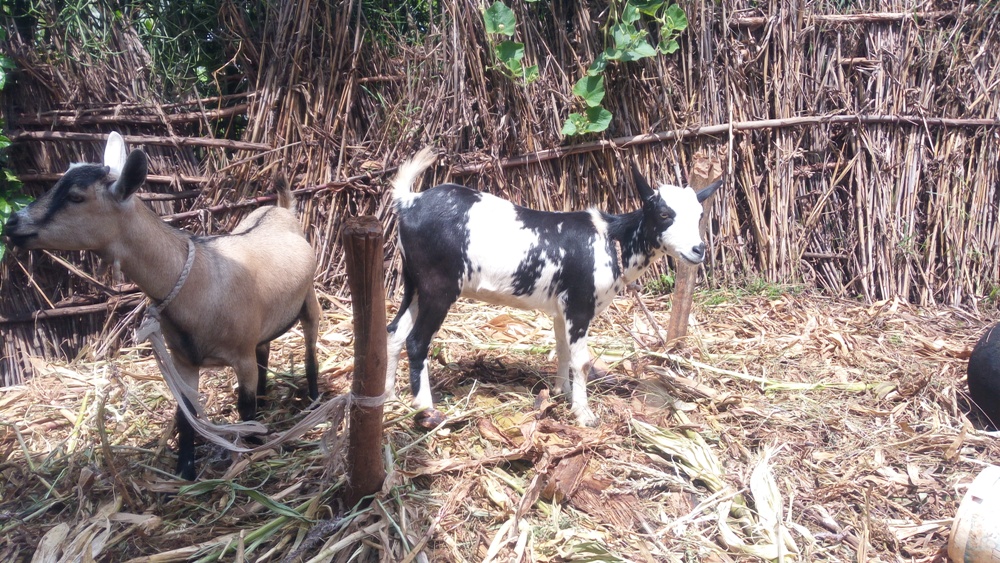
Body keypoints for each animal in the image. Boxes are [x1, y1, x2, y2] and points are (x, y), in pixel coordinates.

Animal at [1, 133, 318, 480]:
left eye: (75, 197)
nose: (12, 222)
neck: (199, 280)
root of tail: (281, 209)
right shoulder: (184, 360)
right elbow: (186, 414)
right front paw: (185, 471)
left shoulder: (241, 355)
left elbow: (244, 407)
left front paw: (250, 451)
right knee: (265, 350)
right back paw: (266, 397)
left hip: (309, 300)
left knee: (310, 349)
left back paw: (314, 400)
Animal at [386, 150, 724, 428]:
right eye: (664, 214)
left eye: (700, 215)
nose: (698, 250)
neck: (611, 240)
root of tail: (409, 202)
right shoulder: (579, 304)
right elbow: (582, 361)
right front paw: (584, 414)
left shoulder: (562, 308)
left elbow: (562, 349)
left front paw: (563, 393)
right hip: (438, 286)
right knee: (416, 341)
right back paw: (427, 411)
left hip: (415, 283)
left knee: (395, 331)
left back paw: (389, 397)